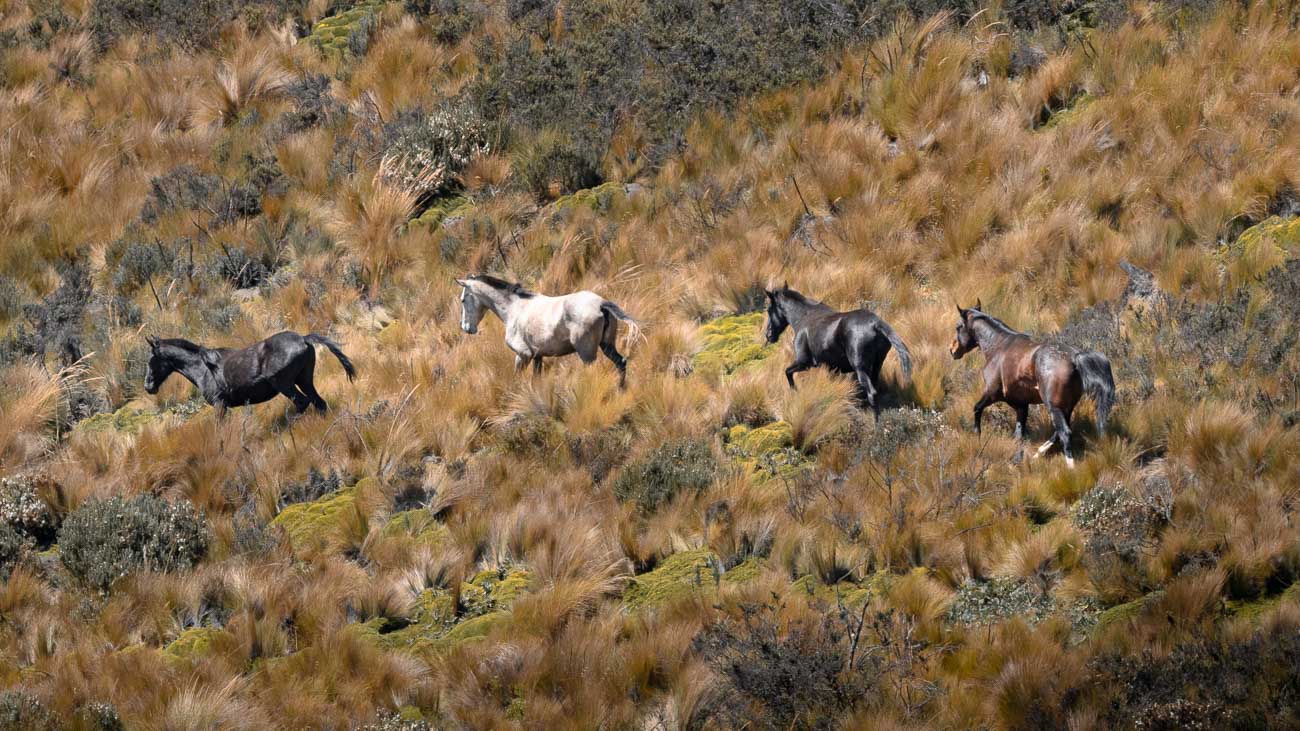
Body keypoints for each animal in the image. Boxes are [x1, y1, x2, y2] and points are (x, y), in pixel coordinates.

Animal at [144, 332, 356, 415]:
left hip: (285, 384)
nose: (148, 386)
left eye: (152, 360)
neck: (203, 369)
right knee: (319, 403)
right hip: (304, 380)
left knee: (303, 403)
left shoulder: (220, 404)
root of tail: (303, 339)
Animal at [455, 274, 641, 387]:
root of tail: (601, 304)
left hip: (587, 353)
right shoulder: (538, 356)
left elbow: (517, 377)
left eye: (463, 299)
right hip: (607, 345)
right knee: (621, 363)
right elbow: (536, 380)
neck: (513, 308)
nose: (466, 328)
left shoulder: (523, 355)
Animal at [764, 284, 913, 419]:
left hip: (860, 368)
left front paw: (795, 392)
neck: (803, 317)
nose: (768, 335)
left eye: (769, 310)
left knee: (872, 393)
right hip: (877, 365)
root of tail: (875, 324)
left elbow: (787, 372)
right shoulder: (832, 368)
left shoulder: (804, 362)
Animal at [950, 301, 1115, 467]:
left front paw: (977, 437)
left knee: (1065, 433)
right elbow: (1019, 435)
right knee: (1059, 432)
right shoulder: (1021, 405)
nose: (952, 350)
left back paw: (1070, 467)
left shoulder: (992, 393)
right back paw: (1038, 454)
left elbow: (977, 409)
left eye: (958, 327)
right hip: (1066, 407)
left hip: (1053, 406)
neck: (999, 346)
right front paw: (1017, 460)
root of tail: (1075, 358)